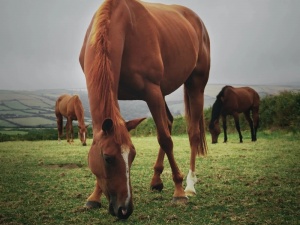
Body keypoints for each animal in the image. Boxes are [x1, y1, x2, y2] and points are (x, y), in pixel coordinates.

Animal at [79, 0, 211, 219]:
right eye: (107, 158)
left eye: (133, 155)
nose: (124, 209)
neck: (123, 25)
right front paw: (94, 196)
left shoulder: (152, 91)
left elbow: (165, 139)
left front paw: (179, 193)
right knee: (168, 121)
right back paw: (156, 179)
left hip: (195, 84)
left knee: (192, 133)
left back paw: (190, 185)